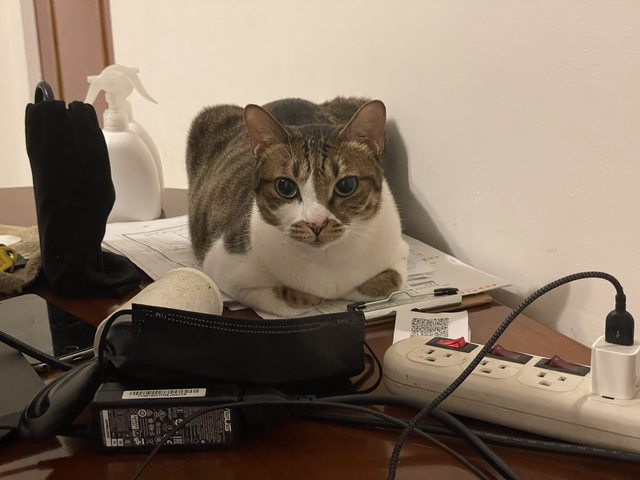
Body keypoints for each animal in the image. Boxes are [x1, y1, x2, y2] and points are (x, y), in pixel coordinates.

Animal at [186, 97, 409, 317]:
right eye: (285, 187)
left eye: (346, 185)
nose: (316, 223)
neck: (326, 260)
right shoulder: (223, 268)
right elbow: (293, 300)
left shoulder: (398, 249)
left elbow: (390, 281)